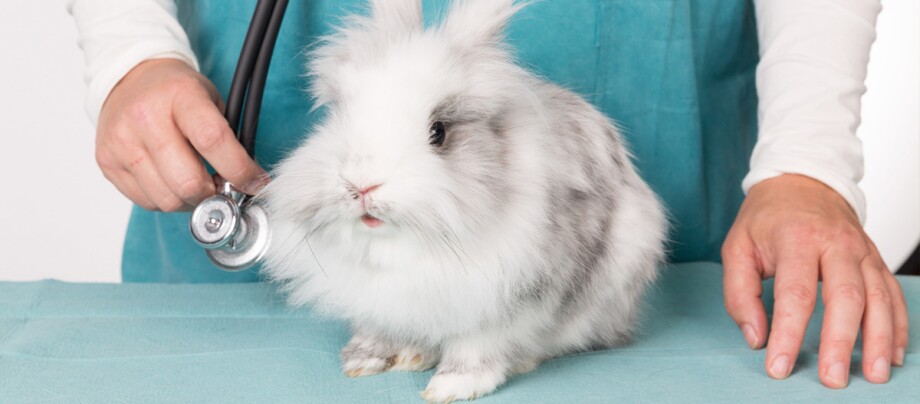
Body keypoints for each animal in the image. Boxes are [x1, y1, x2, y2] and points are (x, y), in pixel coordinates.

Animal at [258, 0, 667, 401]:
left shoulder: (506, 296)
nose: (361, 184)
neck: (401, 247)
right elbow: (380, 328)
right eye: (339, 116)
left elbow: (478, 344)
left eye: (438, 131)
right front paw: (363, 361)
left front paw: (452, 387)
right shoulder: (379, 298)